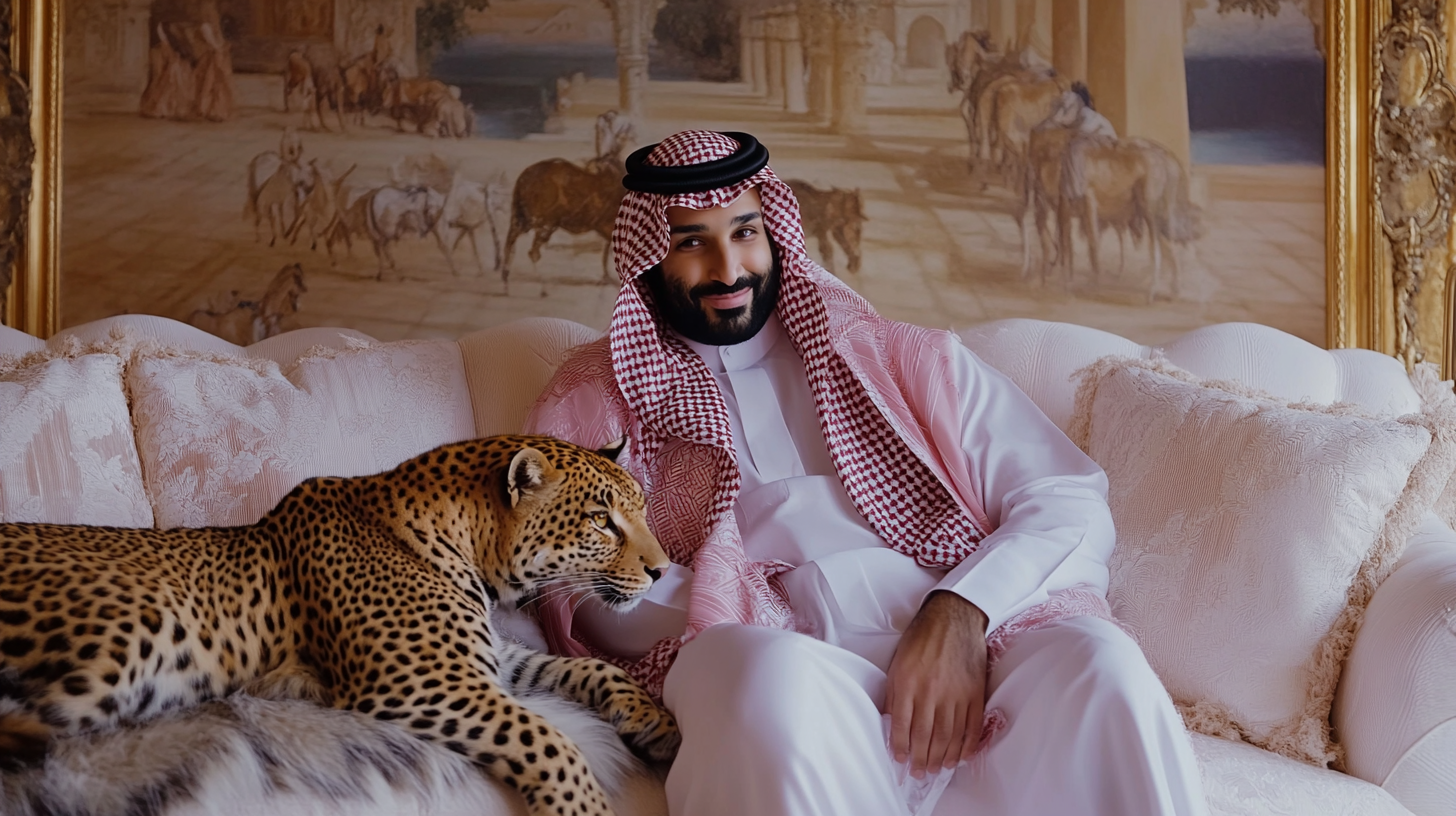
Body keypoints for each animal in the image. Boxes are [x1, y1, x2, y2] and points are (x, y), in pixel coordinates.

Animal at [0, 434, 678, 816]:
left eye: (640, 511)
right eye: (601, 521)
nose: (663, 570)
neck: (466, 547)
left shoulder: (486, 664)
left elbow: (588, 667)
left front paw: (657, 723)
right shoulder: (424, 682)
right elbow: (549, 739)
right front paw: (585, 806)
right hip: (134, 633)